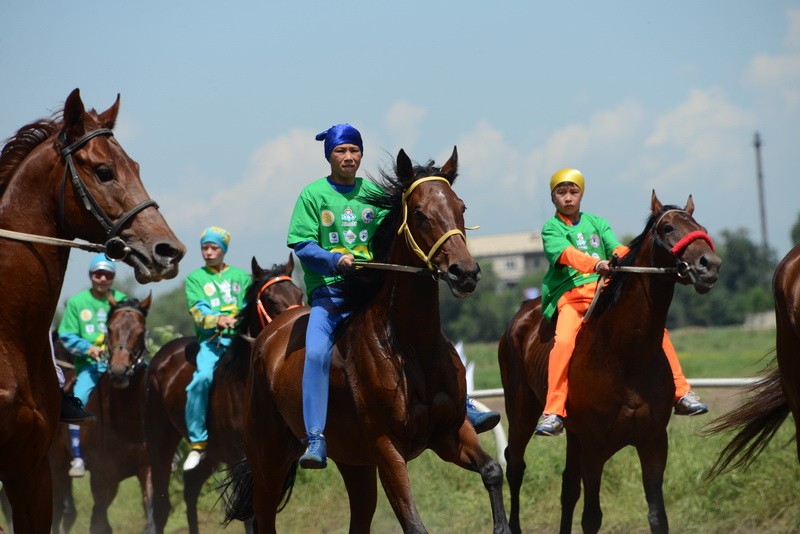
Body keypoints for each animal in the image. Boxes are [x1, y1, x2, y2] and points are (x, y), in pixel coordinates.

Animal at [0, 89, 184, 534]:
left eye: (135, 166)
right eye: (103, 171)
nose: (169, 251)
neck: (9, 333)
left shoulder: (31, 469)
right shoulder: (92, 475)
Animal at [144, 256, 304, 534]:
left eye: (298, 293)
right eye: (270, 298)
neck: (245, 384)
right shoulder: (237, 456)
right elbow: (250, 515)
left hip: (213, 452)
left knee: (191, 485)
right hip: (161, 442)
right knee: (161, 505)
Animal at [222, 148, 510, 534]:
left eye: (460, 206)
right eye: (420, 214)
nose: (464, 272)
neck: (409, 347)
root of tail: (268, 338)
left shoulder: (449, 433)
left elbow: (492, 471)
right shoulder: (387, 448)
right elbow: (413, 522)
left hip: (354, 462)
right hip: (269, 459)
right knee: (262, 514)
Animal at [496, 194, 720, 534]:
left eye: (702, 228)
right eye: (667, 228)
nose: (710, 264)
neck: (625, 355)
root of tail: (523, 311)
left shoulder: (654, 443)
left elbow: (657, 515)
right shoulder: (595, 448)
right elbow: (592, 517)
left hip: (572, 434)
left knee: (567, 487)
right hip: (521, 410)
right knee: (516, 466)